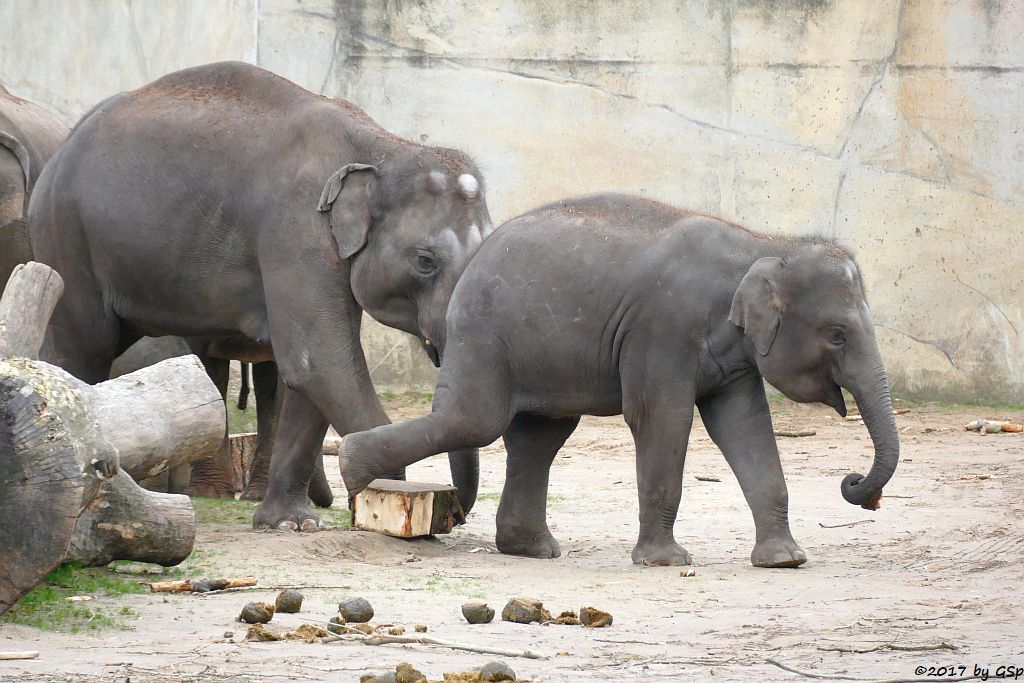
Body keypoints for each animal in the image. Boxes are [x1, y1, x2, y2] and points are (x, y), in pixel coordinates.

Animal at [34, 61, 489, 532]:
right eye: (425, 261)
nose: (456, 515)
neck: (383, 146)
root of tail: (65, 141)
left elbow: (310, 374)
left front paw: (290, 524)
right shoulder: (296, 227)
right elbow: (320, 363)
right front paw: (370, 491)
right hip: (65, 234)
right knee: (84, 348)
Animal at [342, 193, 897, 573]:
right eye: (838, 335)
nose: (857, 487)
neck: (763, 243)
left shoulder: (734, 354)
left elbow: (744, 426)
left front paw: (785, 560)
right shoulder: (663, 328)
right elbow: (662, 418)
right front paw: (666, 562)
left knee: (539, 437)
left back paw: (532, 550)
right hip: (485, 334)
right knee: (476, 420)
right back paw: (353, 468)